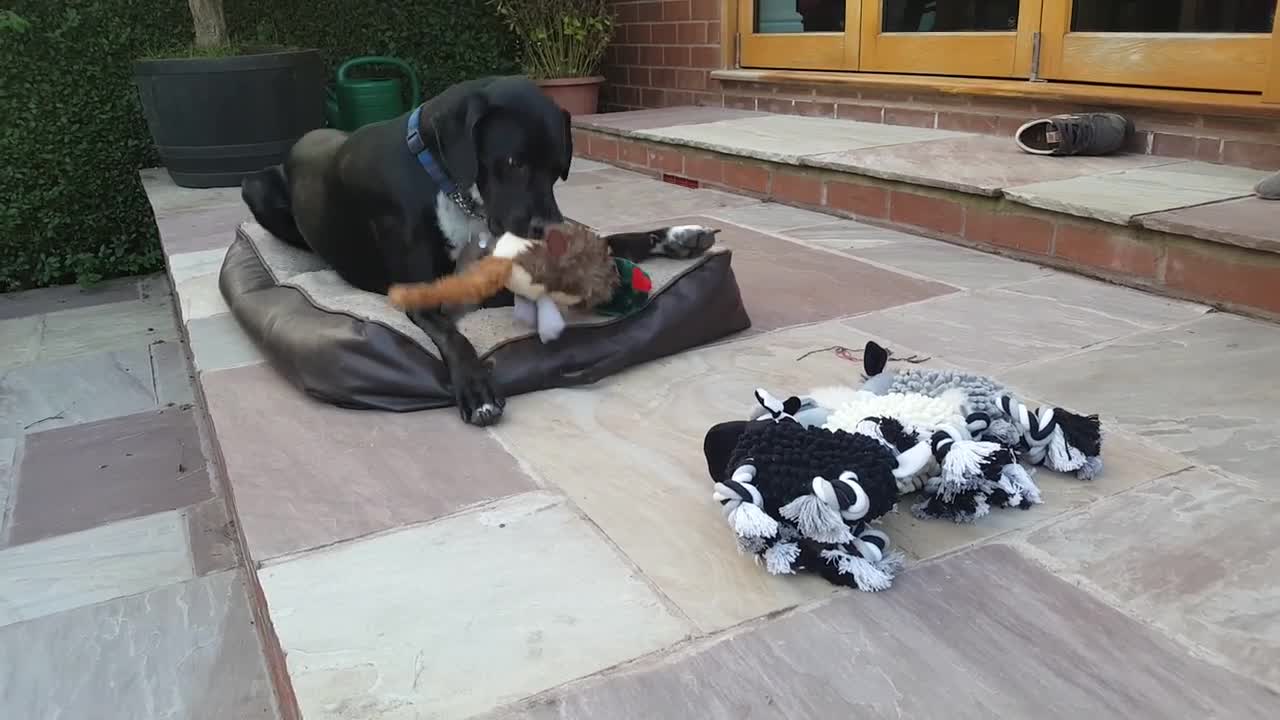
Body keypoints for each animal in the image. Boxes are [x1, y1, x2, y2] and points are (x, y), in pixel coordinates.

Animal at [244, 74, 716, 420]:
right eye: (513, 162)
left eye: (558, 168)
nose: (547, 230)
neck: (449, 185)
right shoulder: (431, 293)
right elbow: (454, 335)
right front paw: (477, 387)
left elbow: (609, 241)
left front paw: (676, 236)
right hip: (256, 187)